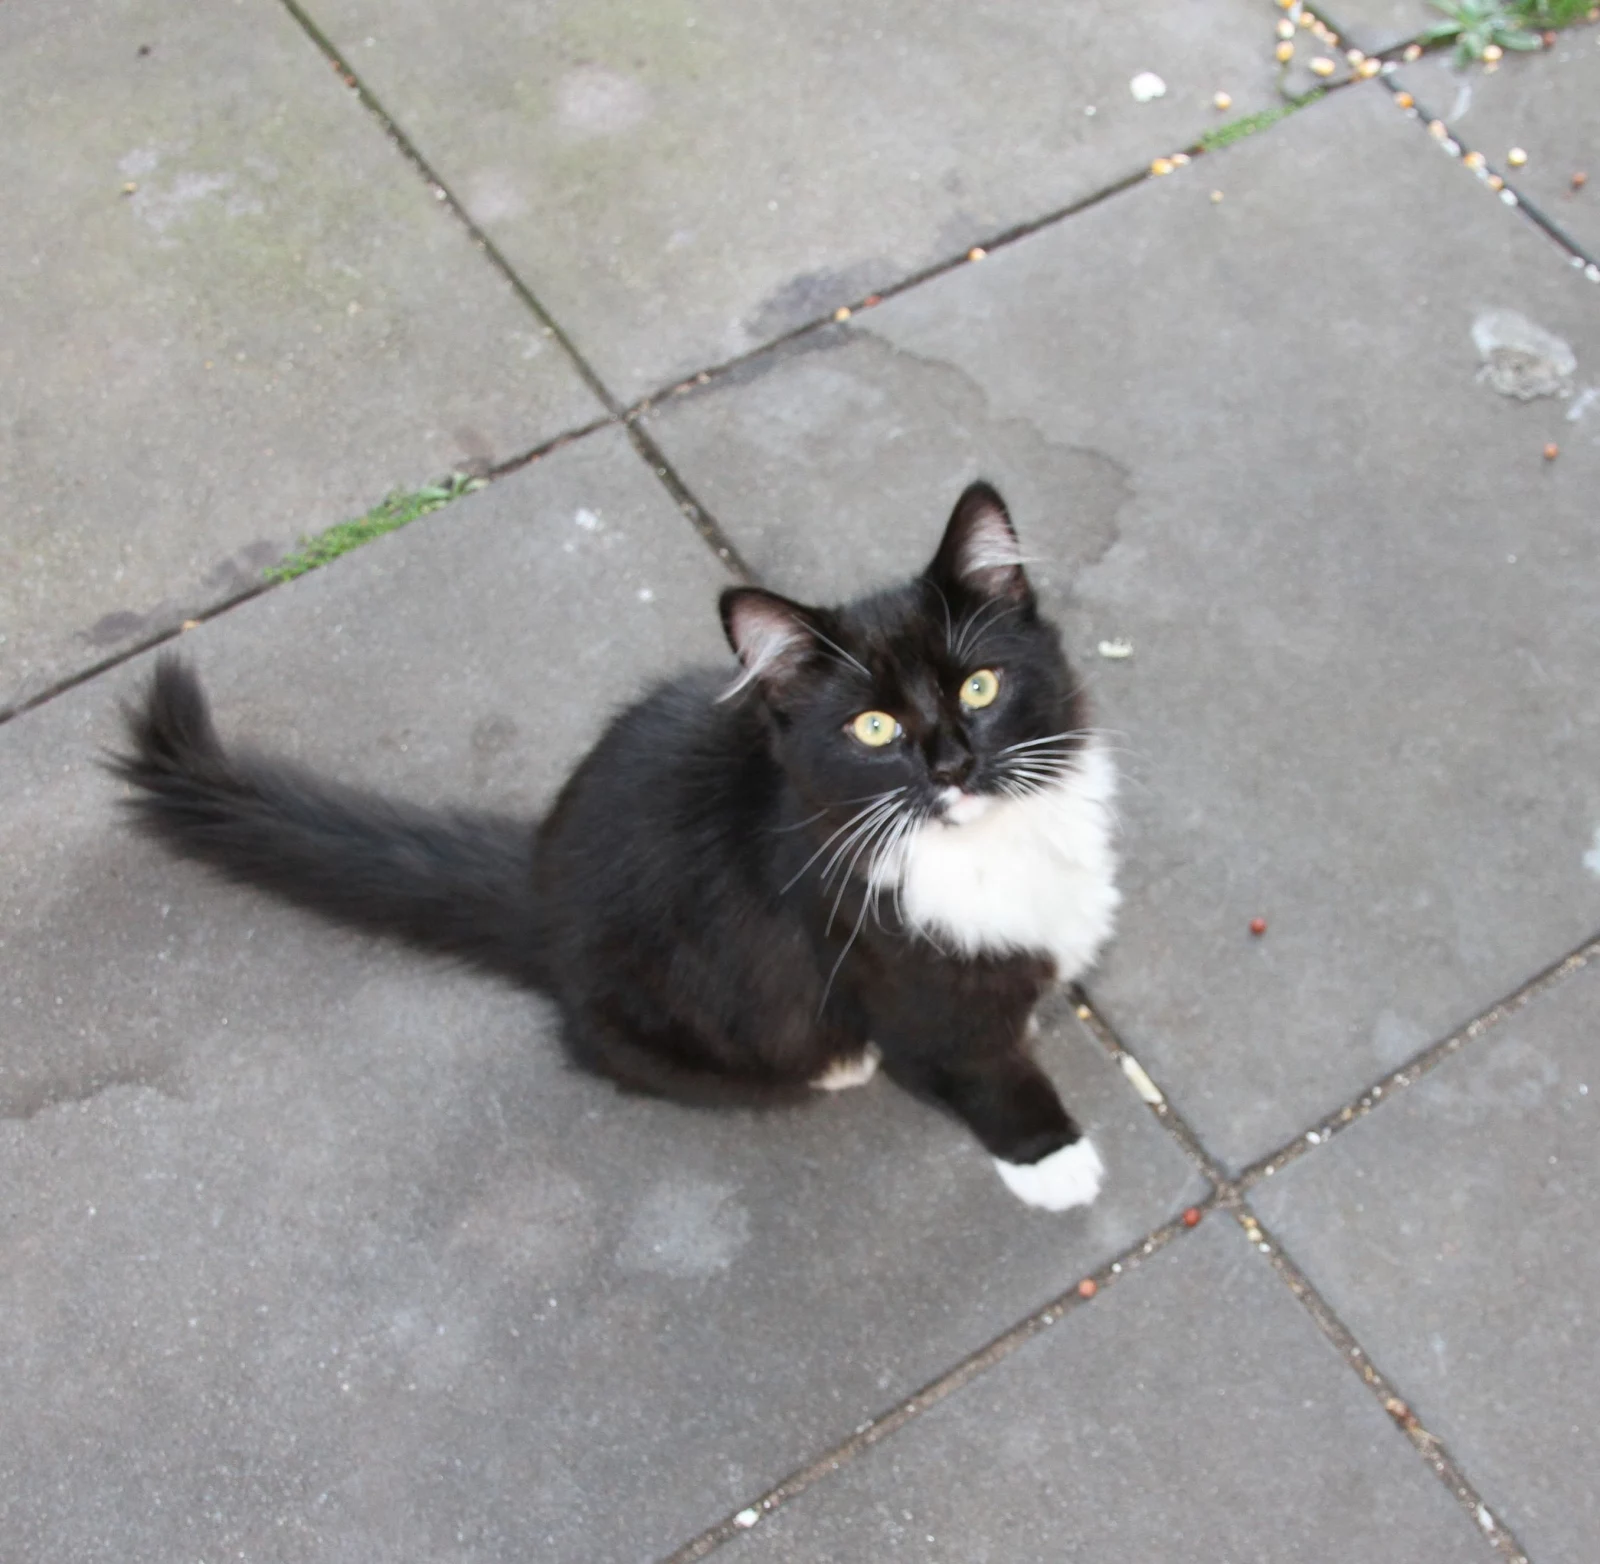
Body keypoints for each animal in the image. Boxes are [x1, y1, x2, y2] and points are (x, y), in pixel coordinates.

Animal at [110, 482, 1120, 1210]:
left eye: (981, 685)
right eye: (874, 728)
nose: (953, 764)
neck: (986, 846)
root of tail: (539, 890)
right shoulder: (895, 981)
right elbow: (978, 1071)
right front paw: (1054, 1162)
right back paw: (833, 1066)